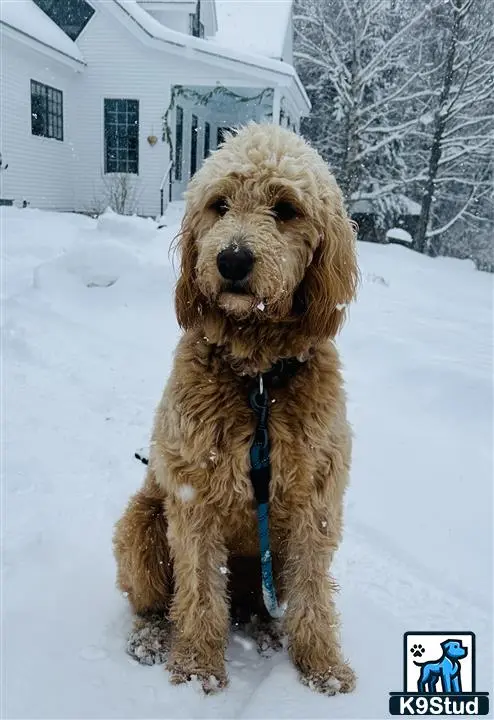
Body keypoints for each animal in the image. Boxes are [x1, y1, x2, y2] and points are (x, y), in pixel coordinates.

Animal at [112, 124, 358, 696]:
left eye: (286, 208)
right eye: (219, 205)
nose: (232, 260)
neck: (259, 380)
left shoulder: (316, 500)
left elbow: (314, 593)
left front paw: (323, 667)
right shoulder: (192, 497)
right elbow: (200, 591)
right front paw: (197, 667)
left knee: (262, 605)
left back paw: (267, 631)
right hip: (140, 524)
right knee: (157, 602)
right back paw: (154, 637)